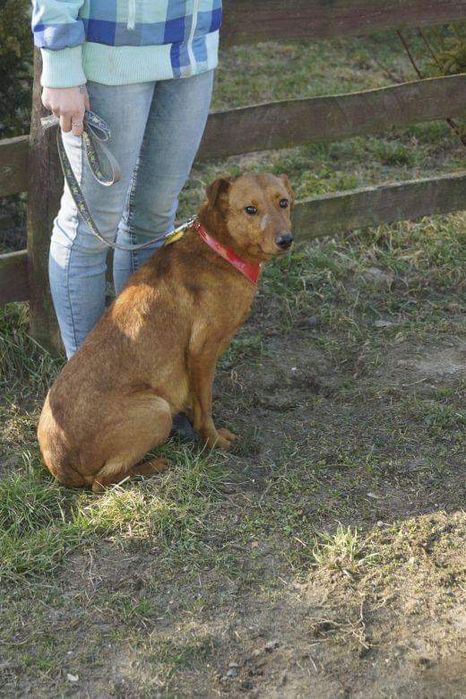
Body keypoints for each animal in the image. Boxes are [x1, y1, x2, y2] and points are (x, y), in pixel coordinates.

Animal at [39, 174, 294, 492]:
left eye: (283, 202)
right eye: (250, 209)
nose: (286, 240)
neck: (218, 248)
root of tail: (60, 465)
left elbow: (195, 403)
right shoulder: (201, 353)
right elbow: (205, 407)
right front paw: (213, 441)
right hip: (156, 410)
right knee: (101, 481)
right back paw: (154, 466)